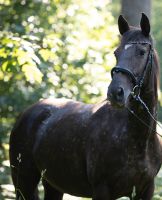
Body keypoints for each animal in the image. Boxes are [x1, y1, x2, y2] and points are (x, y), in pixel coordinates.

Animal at [9, 13, 162, 199]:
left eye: (141, 52)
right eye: (116, 53)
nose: (115, 92)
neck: (138, 140)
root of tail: (26, 114)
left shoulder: (146, 189)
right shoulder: (102, 189)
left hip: (53, 184)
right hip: (24, 181)